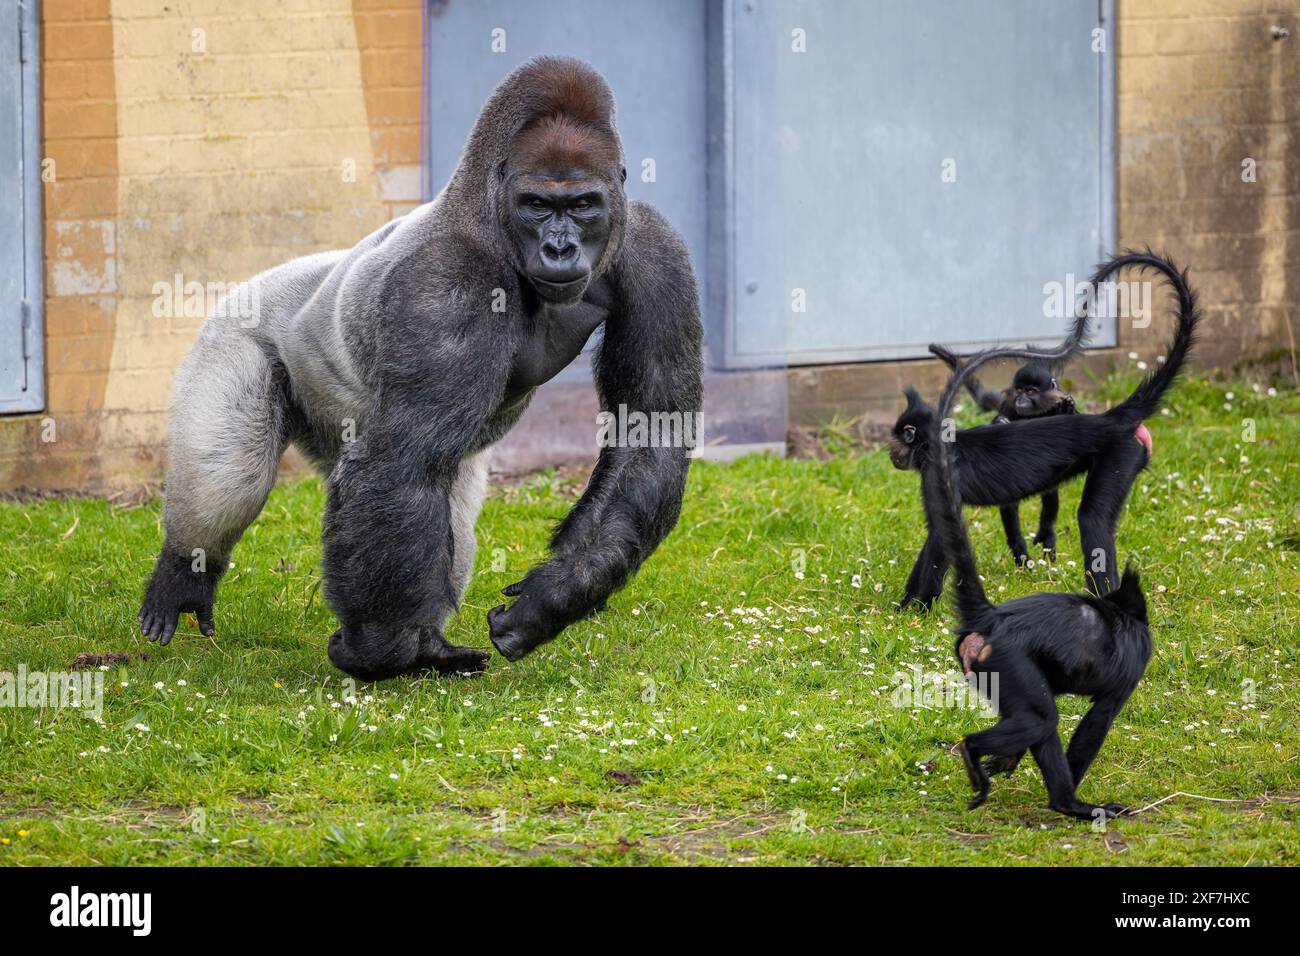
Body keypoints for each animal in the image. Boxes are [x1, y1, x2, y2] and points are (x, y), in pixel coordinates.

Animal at [137, 57, 704, 680]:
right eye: (537, 205)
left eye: (582, 205)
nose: (560, 248)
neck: (487, 211)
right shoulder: (445, 283)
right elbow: (400, 461)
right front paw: (378, 651)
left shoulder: (654, 250)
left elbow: (648, 432)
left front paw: (556, 597)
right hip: (232, 331)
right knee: (232, 473)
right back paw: (186, 571)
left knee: (443, 498)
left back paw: (430, 642)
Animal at [929, 345, 1077, 566]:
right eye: (1020, 390)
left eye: (1031, 391)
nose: (1021, 399)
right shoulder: (1008, 404)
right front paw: (1000, 423)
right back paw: (1020, 553)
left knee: (1050, 493)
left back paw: (1046, 537)